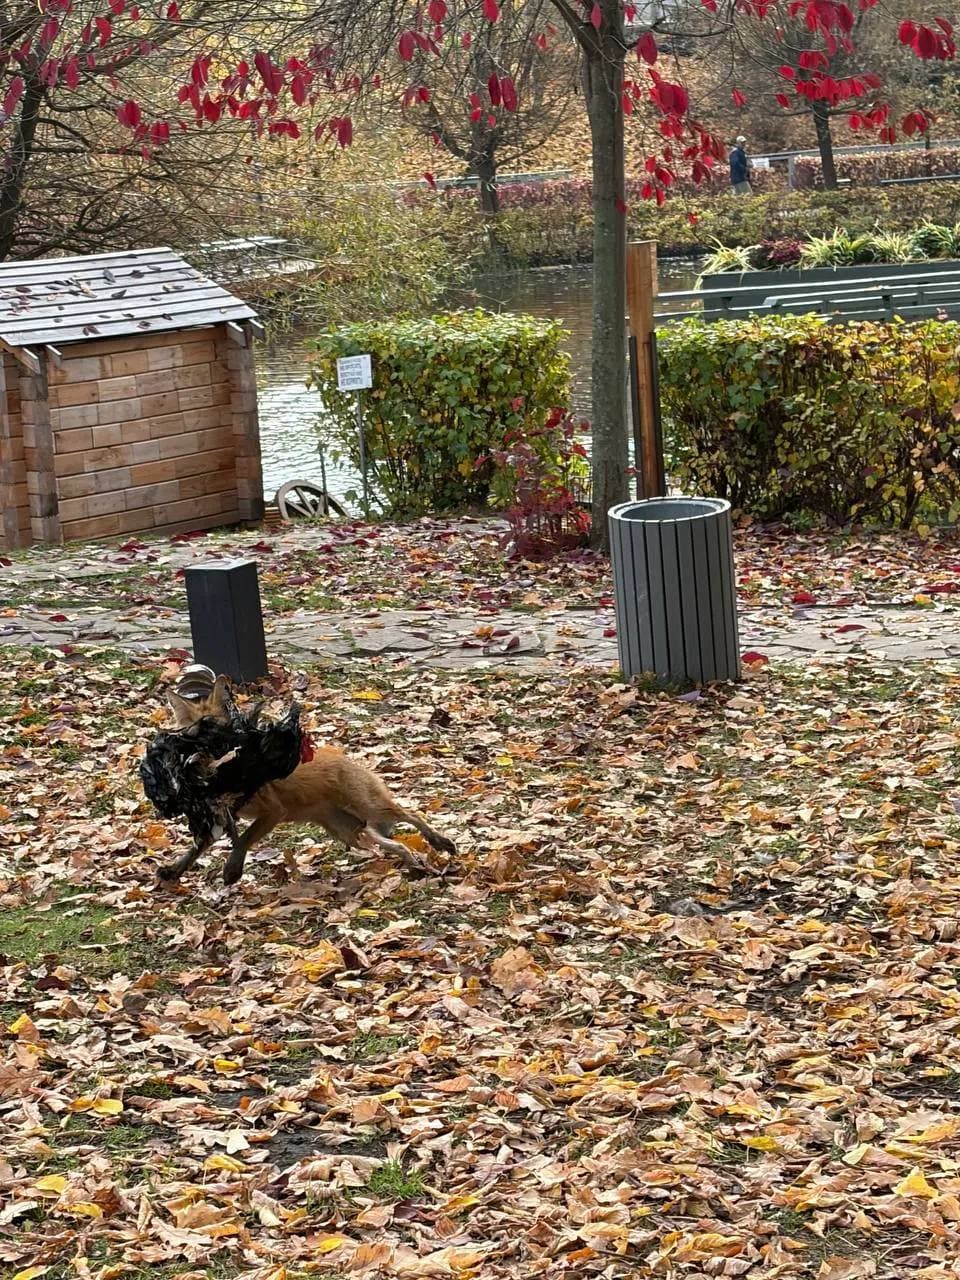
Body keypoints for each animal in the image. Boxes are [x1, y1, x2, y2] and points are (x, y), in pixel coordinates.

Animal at [156, 676, 457, 886]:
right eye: (188, 734)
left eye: (214, 733)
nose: (192, 760)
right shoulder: (216, 814)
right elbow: (198, 846)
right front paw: (175, 870)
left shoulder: (273, 812)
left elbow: (243, 840)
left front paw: (232, 869)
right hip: (353, 831)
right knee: (397, 845)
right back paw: (414, 863)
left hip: (369, 809)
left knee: (412, 814)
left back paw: (439, 842)